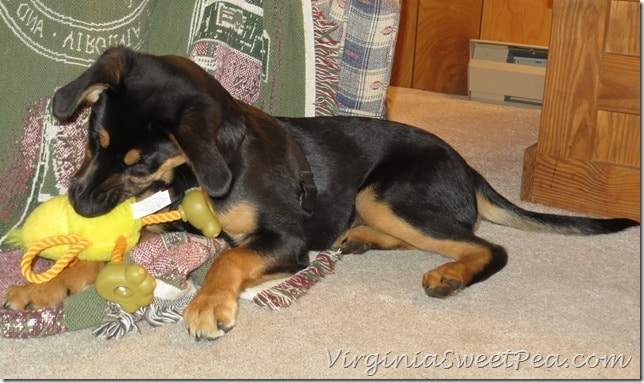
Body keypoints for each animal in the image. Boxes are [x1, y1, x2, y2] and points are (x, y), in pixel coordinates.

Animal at [3, 46, 640, 340]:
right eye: (94, 140)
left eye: (142, 165)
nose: (80, 206)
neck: (202, 173)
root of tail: (469, 167)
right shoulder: (162, 218)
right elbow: (92, 257)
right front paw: (43, 287)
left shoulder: (286, 237)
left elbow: (229, 257)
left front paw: (208, 304)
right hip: (376, 200)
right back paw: (361, 240)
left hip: (384, 190)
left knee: (485, 246)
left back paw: (448, 275)